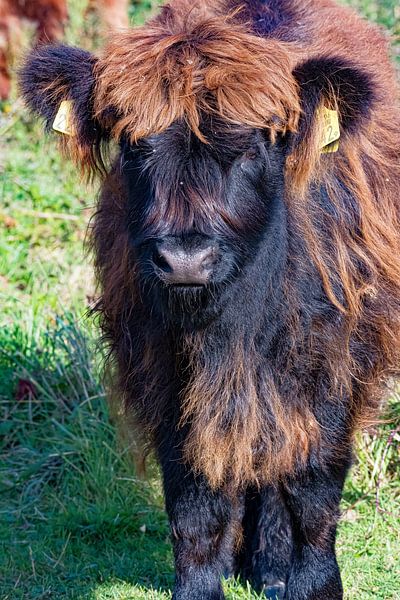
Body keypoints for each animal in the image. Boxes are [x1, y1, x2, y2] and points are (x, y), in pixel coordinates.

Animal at [20, 0, 400, 596]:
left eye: (251, 146)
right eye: (134, 146)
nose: (184, 261)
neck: (233, 328)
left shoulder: (336, 362)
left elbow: (312, 484)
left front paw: (314, 585)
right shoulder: (164, 372)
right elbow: (194, 495)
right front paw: (200, 583)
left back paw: (272, 570)